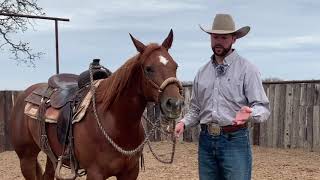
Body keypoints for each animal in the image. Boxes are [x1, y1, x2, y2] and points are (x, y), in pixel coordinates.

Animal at [9, 30, 182, 179]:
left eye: (175, 66)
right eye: (148, 69)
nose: (175, 103)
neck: (117, 123)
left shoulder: (130, 172)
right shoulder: (95, 173)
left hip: (52, 154)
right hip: (26, 157)